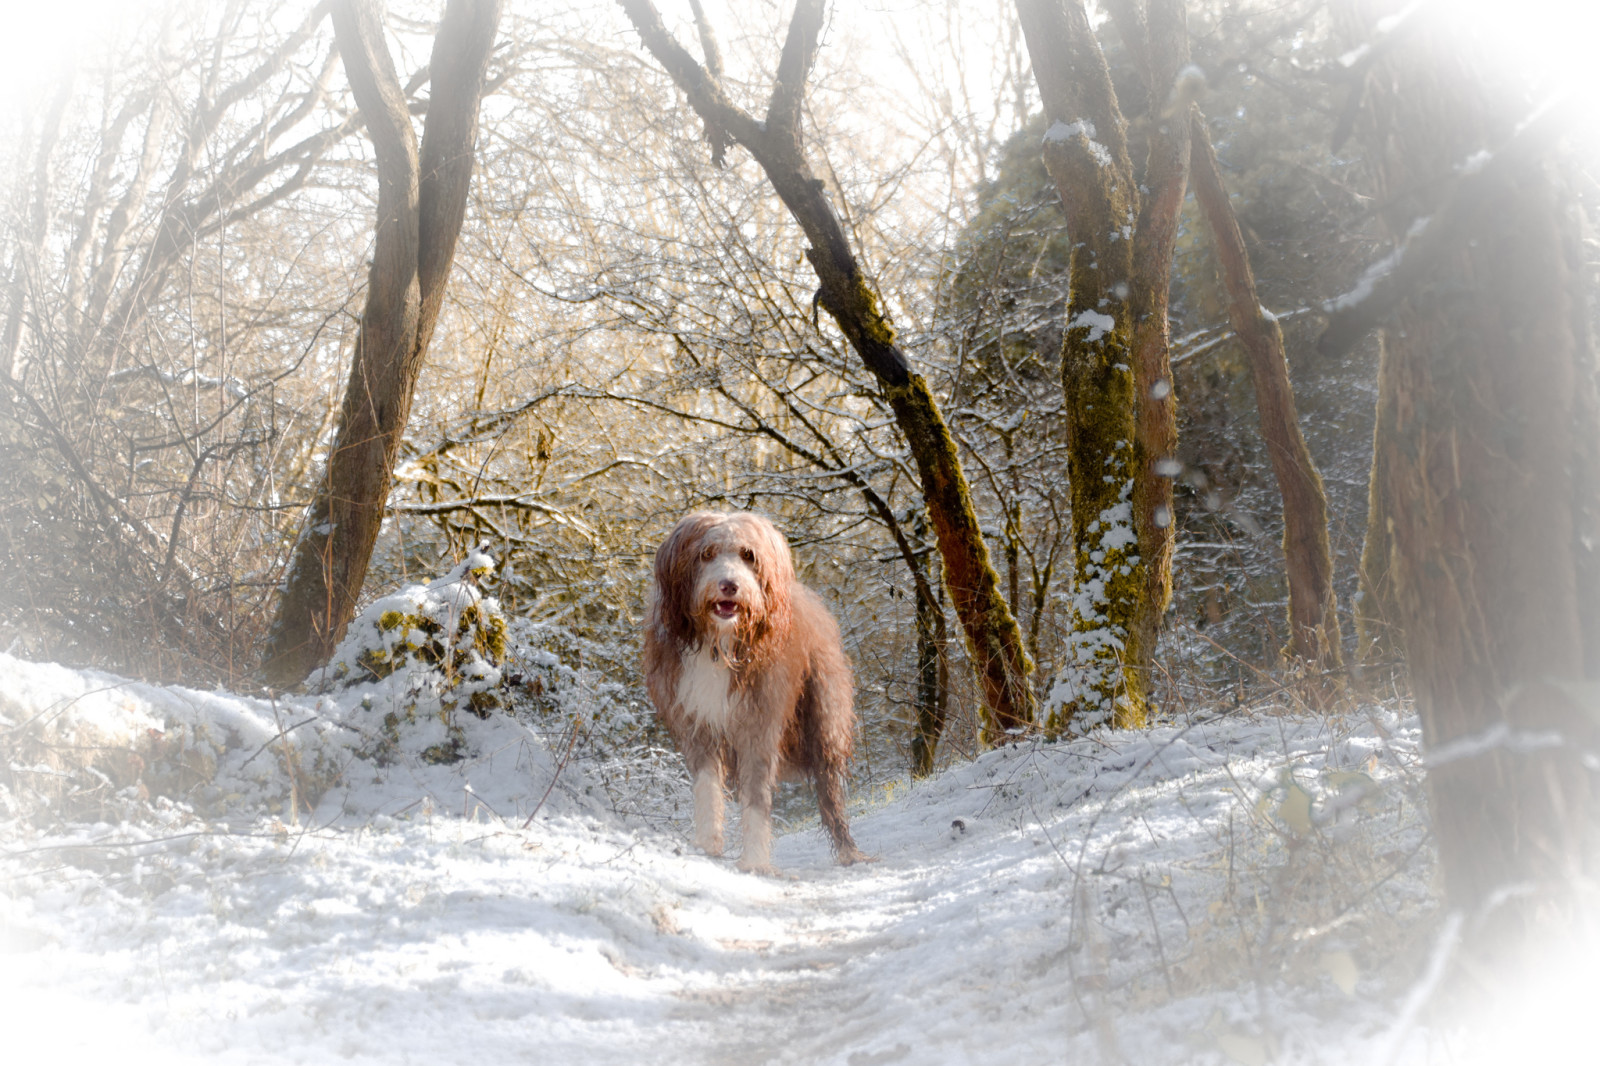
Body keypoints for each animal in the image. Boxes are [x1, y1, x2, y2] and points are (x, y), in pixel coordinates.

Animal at [640, 512, 870, 870]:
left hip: (825, 717)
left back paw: (848, 852)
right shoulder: (696, 722)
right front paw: (707, 846)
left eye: (748, 555)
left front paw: (755, 862)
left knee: (831, 789)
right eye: (706, 554)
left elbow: (757, 794)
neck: (720, 645)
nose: (729, 585)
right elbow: (707, 786)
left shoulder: (759, 723)